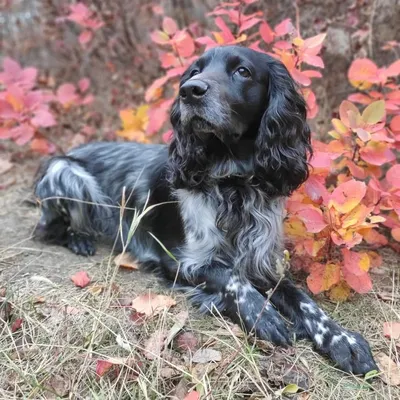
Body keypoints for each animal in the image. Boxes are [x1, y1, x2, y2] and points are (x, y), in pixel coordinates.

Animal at [35, 46, 378, 376]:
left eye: (243, 71)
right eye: (194, 71)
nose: (190, 91)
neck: (233, 183)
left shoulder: (260, 262)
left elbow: (303, 301)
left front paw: (342, 340)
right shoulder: (182, 260)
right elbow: (230, 277)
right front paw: (263, 314)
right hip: (65, 171)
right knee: (48, 228)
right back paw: (79, 239)